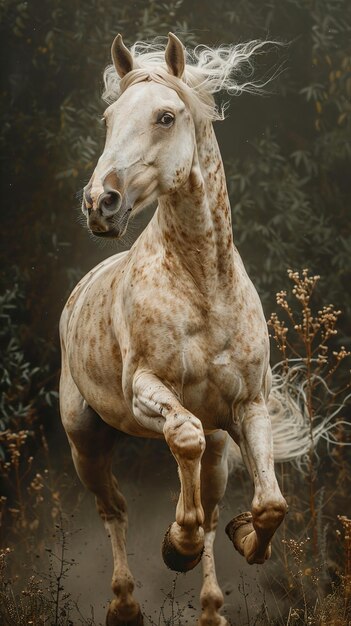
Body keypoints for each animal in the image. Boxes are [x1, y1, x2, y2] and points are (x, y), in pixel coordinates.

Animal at [60, 34, 290, 624]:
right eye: (108, 117)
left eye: (166, 116)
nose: (100, 203)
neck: (204, 285)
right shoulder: (146, 389)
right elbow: (182, 435)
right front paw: (175, 545)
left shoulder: (247, 407)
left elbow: (269, 503)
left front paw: (244, 537)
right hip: (85, 441)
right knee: (113, 509)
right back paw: (124, 604)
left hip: (218, 447)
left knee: (207, 503)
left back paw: (210, 607)